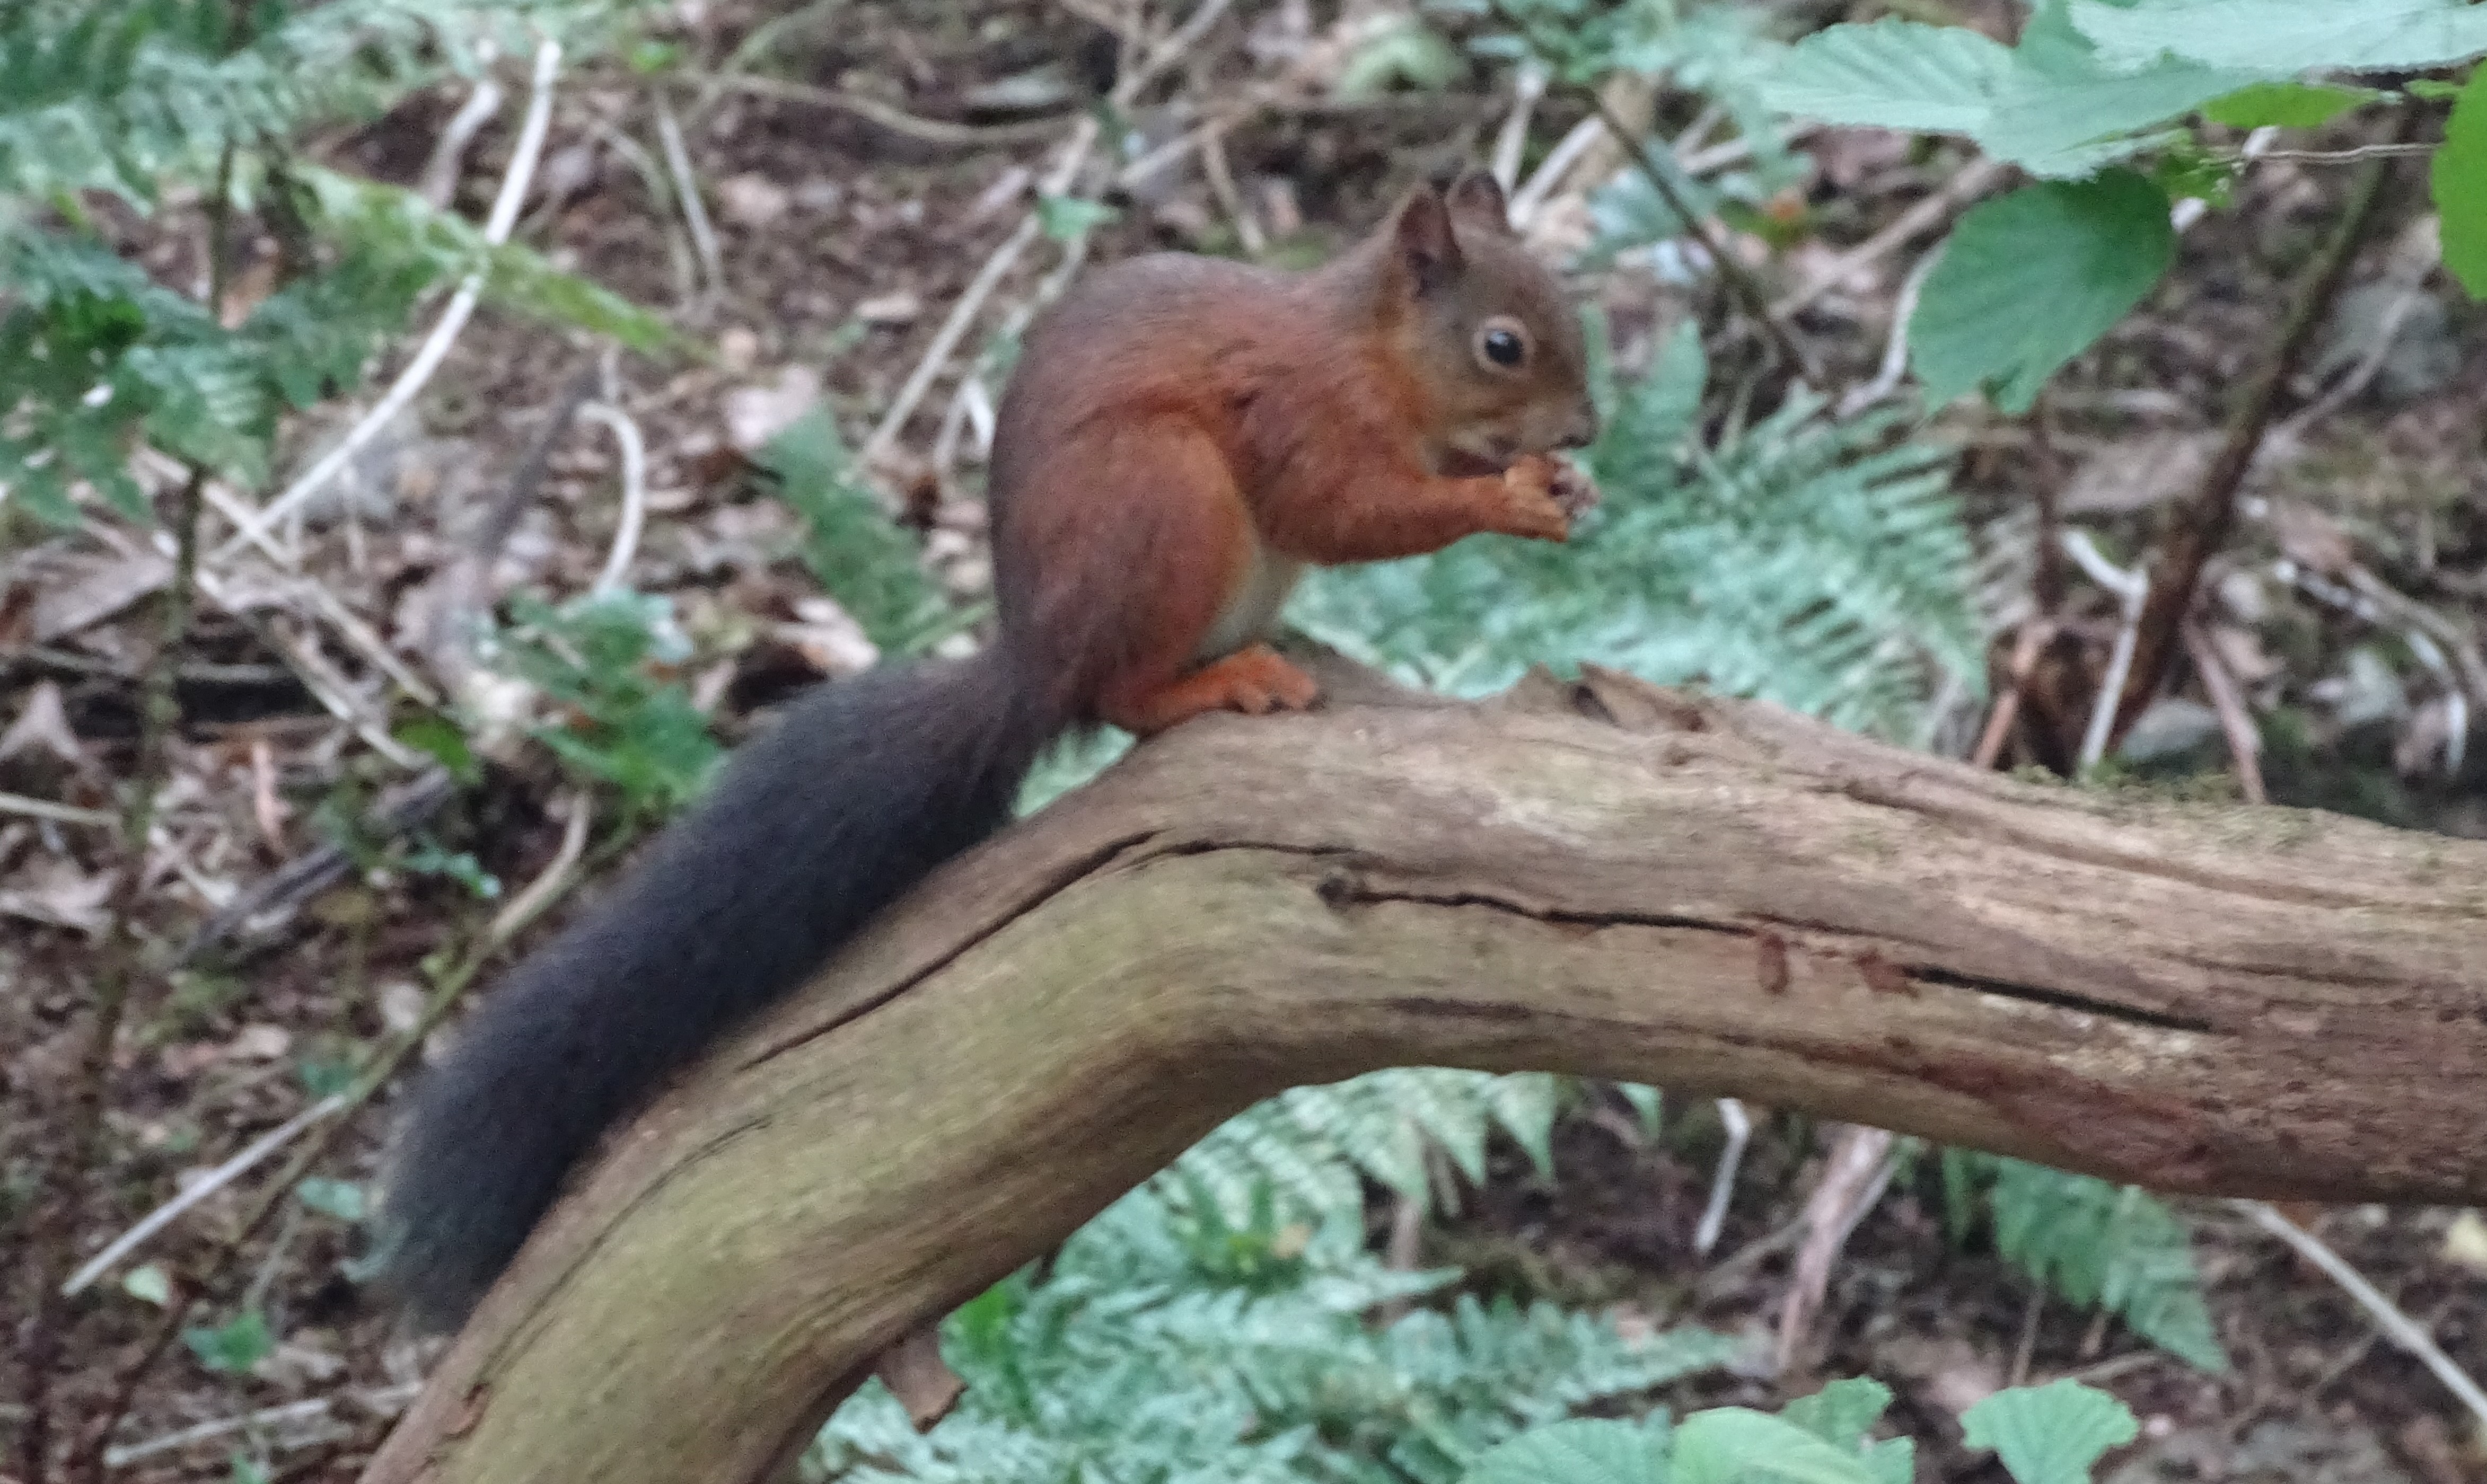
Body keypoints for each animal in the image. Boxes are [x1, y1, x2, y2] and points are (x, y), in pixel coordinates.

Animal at [374, 166, 1601, 1333]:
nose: (1585, 432)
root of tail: (1037, 659)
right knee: (1123, 698)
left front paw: (1558, 486)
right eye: (1502, 343)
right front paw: (1507, 498)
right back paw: (1222, 681)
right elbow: (1346, 511)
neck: (1370, 352)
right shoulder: (1299, 415)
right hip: (1161, 497)